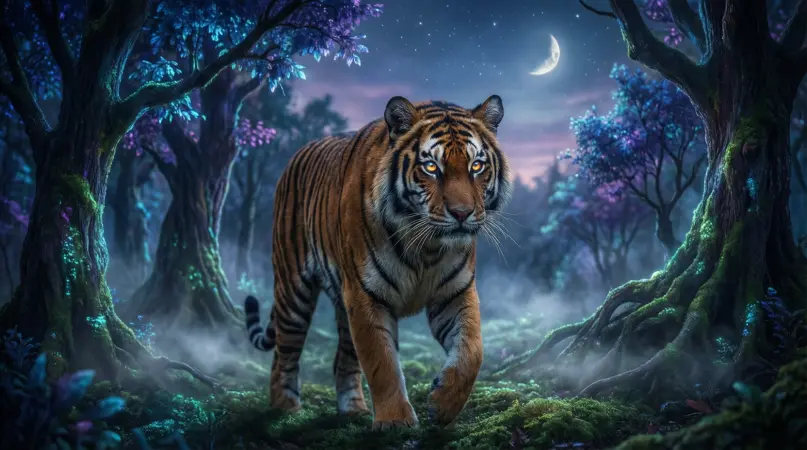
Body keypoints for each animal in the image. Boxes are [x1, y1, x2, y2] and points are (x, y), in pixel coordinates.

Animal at [244, 95, 511, 430]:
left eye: (476, 165)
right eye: (431, 167)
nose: (462, 214)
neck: (426, 246)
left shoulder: (455, 292)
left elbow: (472, 351)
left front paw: (443, 404)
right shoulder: (366, 295)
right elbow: (381, 361)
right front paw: (395, 421)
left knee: (342, 359)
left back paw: (353, 409)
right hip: (294, 290)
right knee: (284, 354)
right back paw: (285, 410)